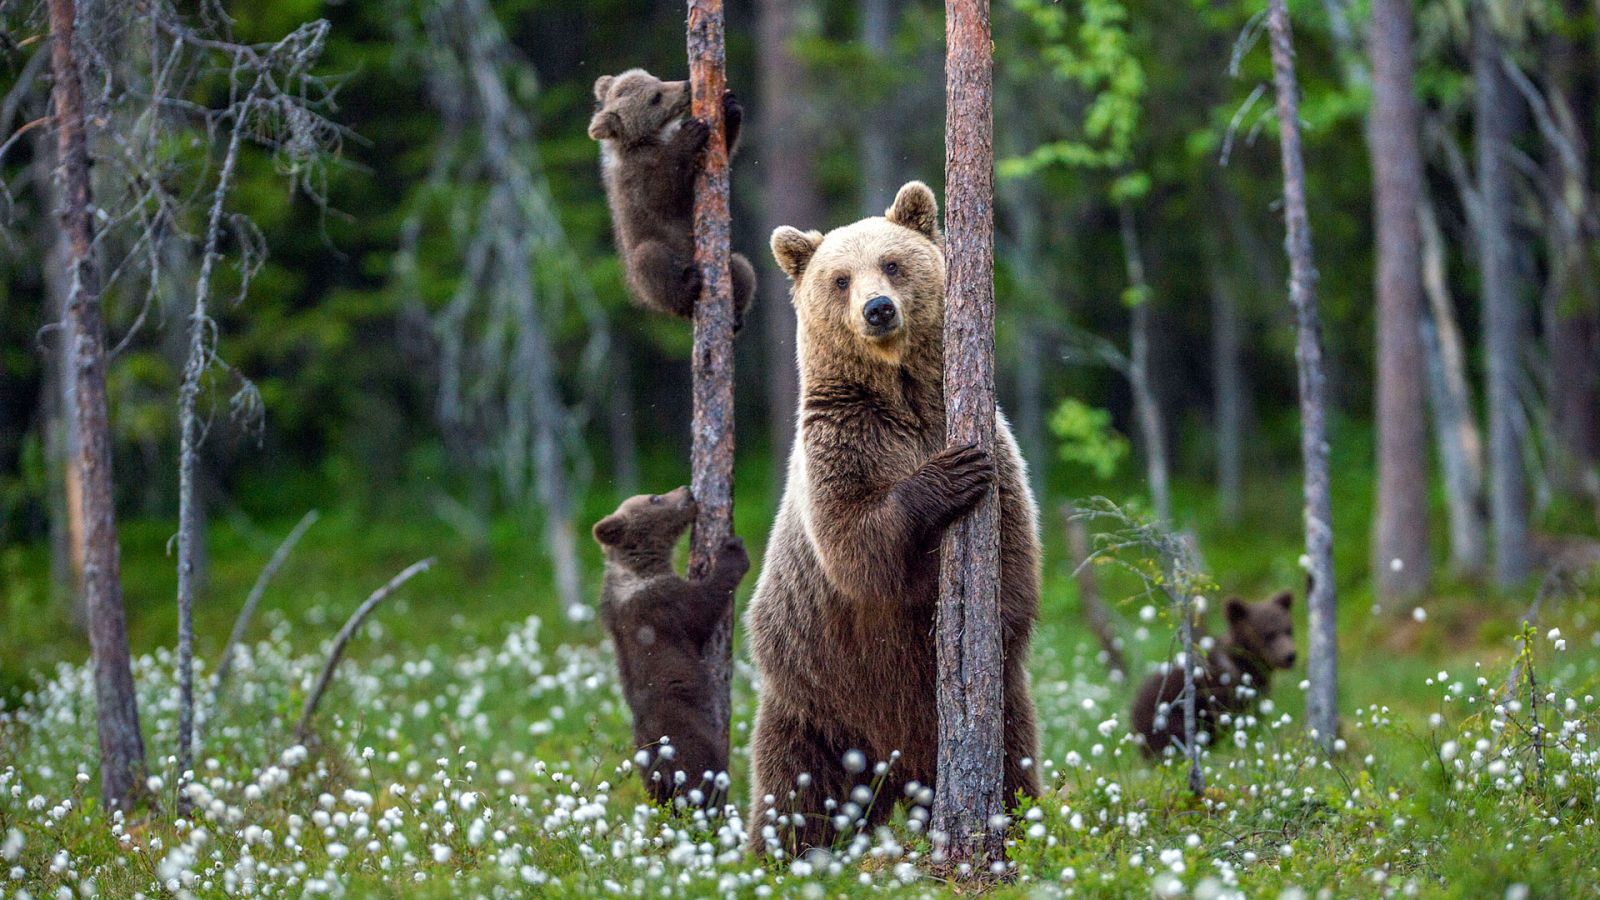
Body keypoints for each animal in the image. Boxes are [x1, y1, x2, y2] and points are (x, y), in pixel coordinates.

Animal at [588, 68, 756, 330]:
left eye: (656, 79)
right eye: (655, 97)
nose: (687, 85)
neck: (648, 139)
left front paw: (730, 107)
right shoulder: (636, 178)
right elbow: (662, 194)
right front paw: (690, 133)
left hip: (730, 263)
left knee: (743, 267)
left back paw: (737, 315)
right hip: (645, 268)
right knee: (650, 260)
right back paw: (689, 285)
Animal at [592, 486, 750, 805]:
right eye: (654, 498)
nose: (687, 491)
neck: (640, 568)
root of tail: (658, 759)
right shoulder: (663, 604)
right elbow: (704, 607)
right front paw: (733, 551)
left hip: (645, 766)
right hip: (687, 737)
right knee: (704, 775)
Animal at [743, 181, 1042, 856]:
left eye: (893, 263)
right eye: (839, 278)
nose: (877, 308)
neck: (901, 394)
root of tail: (897, 770)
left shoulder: (989, 438)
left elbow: (1014, 548)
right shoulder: (842, 444)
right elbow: (857, 545)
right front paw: (948, 477)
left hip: (998, 713)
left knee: (1014, 763)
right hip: (816, 701)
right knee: (795, 793)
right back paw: (778, 856)